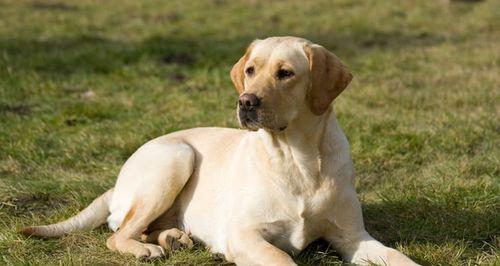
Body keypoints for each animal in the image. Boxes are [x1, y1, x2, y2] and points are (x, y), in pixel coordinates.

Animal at [19, 36, 418, 264]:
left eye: (286, 73)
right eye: (251, 70)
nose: (246, 101)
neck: (298, 159)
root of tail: (116, 184)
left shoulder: (353, 237)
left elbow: (398, 258)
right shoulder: (244, 234)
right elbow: (281, 258)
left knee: (140, 228)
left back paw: (173, 238)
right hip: (177, 157)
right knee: (118, 234)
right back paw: (149, 248)